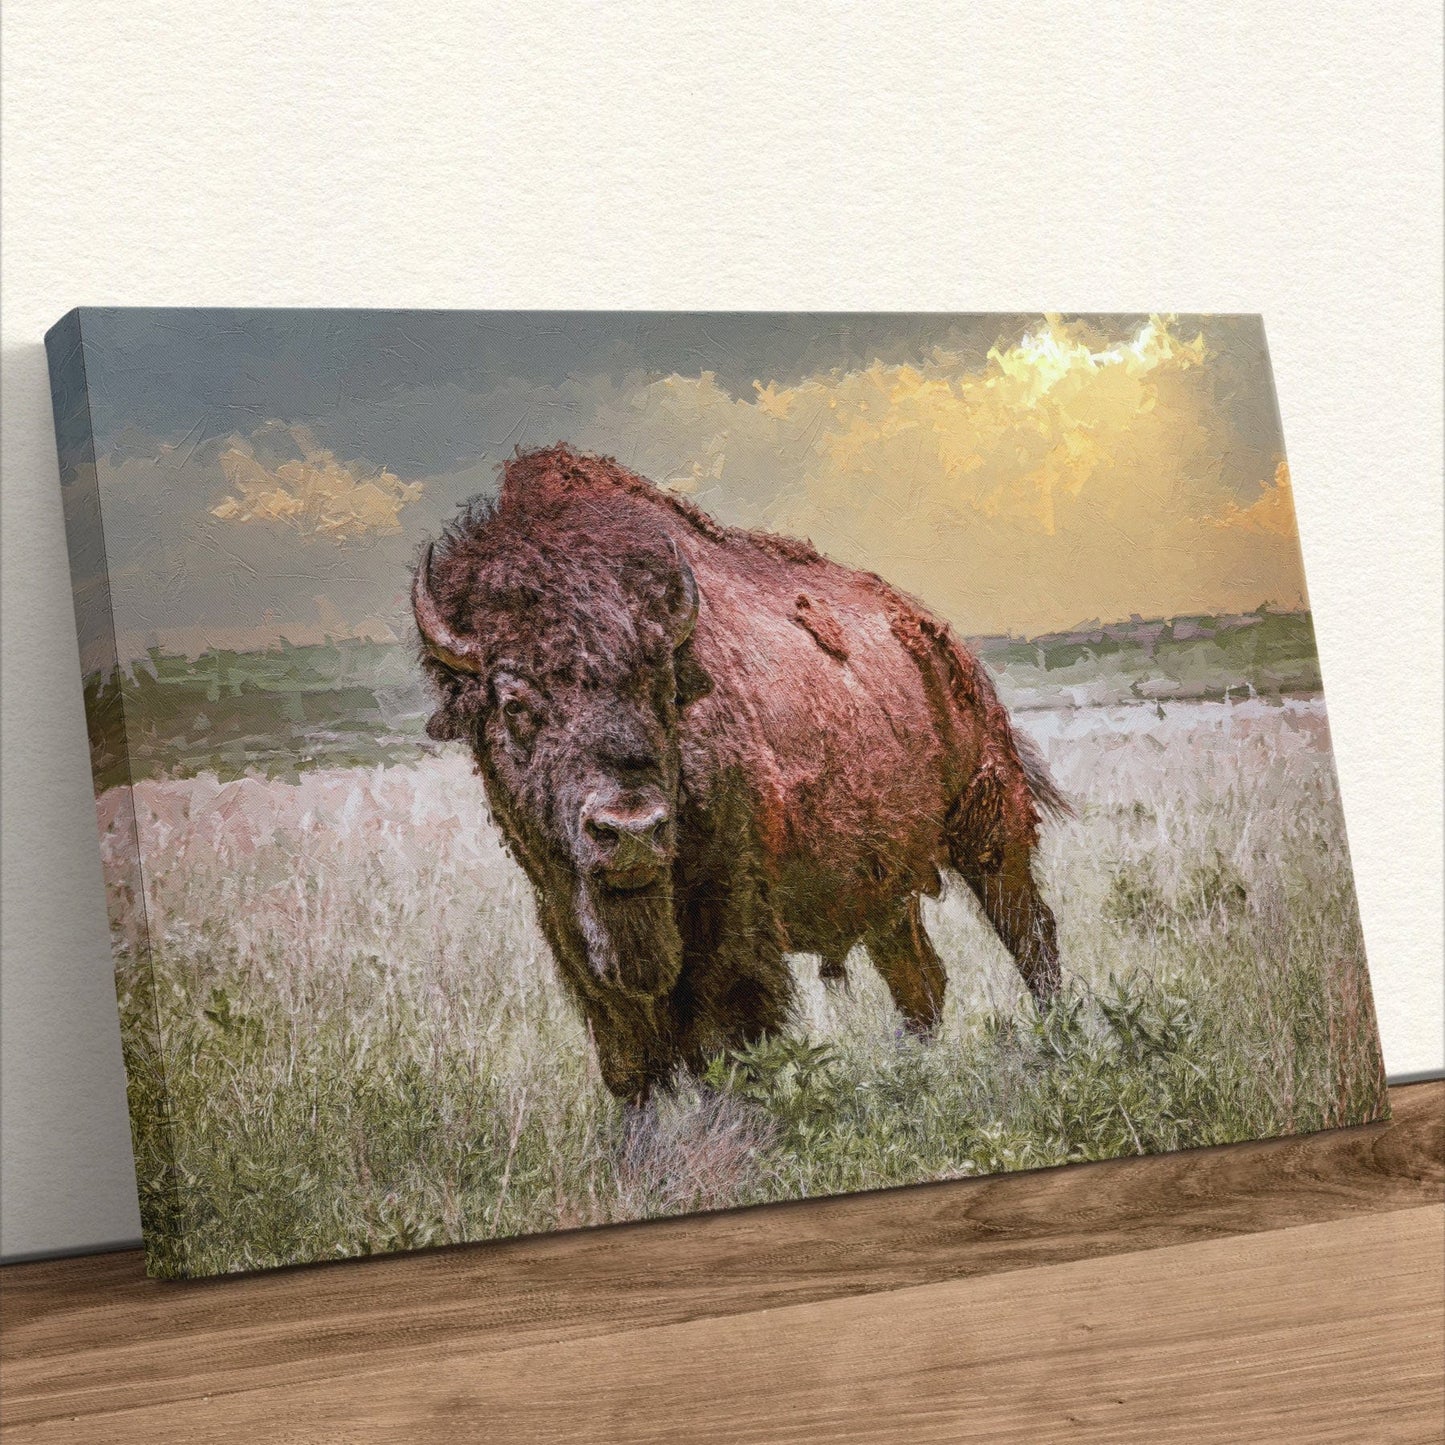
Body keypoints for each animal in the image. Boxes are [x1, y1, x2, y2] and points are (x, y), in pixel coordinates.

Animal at [414, 444, 1068, 1102]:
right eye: (514, 704)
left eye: (663, 687)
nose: (631, 831)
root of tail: (943, 641)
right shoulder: (568, 922)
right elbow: (630, 1061)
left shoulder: (729, 914)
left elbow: (723, 1041)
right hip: (887, 885)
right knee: (922, 981)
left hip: (989, 831)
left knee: (1031, 937)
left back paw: (1056, 1042)